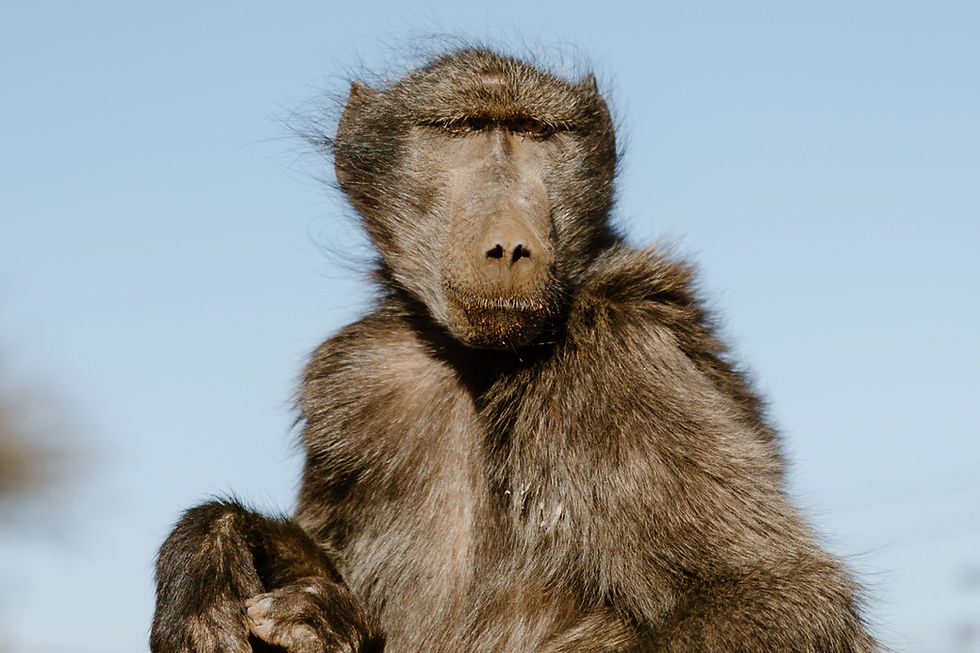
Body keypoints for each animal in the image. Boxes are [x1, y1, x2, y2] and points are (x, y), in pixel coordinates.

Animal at [151, 48, 877, 652]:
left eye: (533, 134)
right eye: (463, 129)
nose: (510, 246)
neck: (476, 362)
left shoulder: (618, 354)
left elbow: (772, 598)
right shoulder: (355, 376)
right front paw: (211, 554)